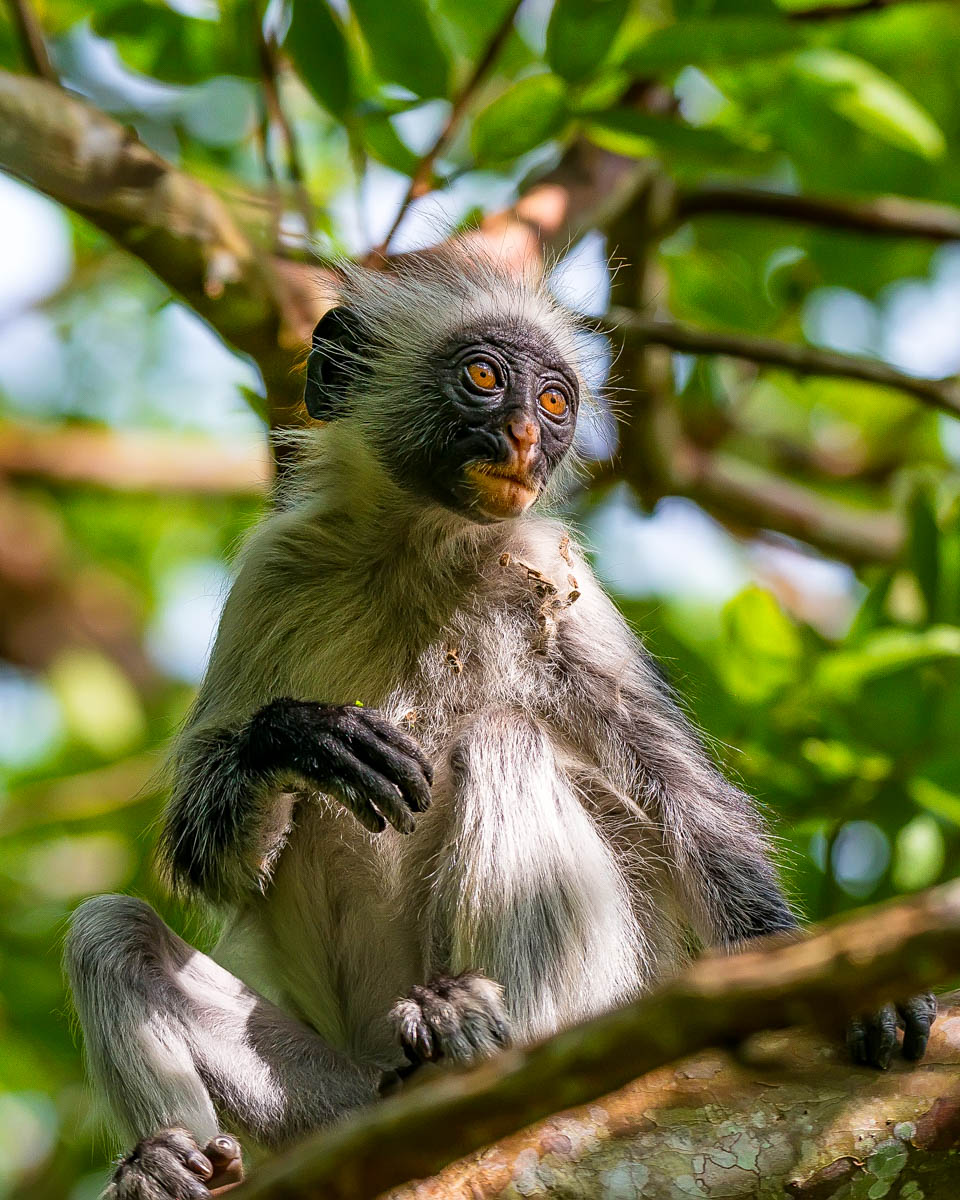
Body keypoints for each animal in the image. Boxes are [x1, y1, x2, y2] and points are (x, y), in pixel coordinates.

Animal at [66, 245, 936, 1199]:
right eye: (484, 378)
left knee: (503, 740)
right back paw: (168, 1160)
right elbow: (210, 856)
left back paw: (480, 1037)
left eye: (555, 402)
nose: (526, 436)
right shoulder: (275, 570)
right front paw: (298, 740)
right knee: (111, 932)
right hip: (336, 1100)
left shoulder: (555, 573)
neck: (419, 549)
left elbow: (688, 804)